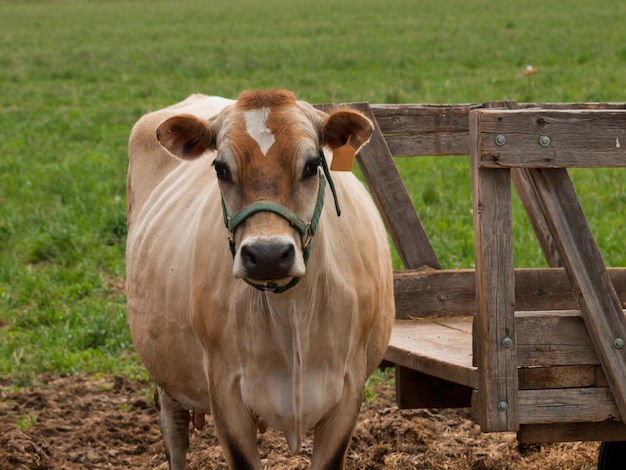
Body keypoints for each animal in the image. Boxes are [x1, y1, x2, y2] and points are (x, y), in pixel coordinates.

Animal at [124, 90, 392, 468]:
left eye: (312, 164)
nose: (267, 254)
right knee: (174, 429)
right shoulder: (224, 390)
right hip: (166, 370)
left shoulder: (350, 386)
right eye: (221, 168)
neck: (290, 310)